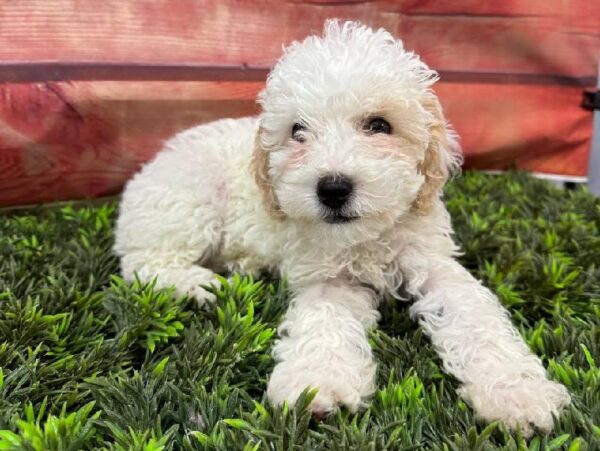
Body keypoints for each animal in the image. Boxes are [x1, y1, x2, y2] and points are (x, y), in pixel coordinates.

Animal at [115, 20, 568, 434]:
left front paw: (517, 394)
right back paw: (198, 286)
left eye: (379, 125)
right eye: (298, 131)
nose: (332, 188)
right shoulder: (327, 277)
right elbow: (324, 321)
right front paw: (316, 386)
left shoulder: (434, 261)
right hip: (188, 201)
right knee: (144, 264)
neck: (367, 238)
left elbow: (476, 317)